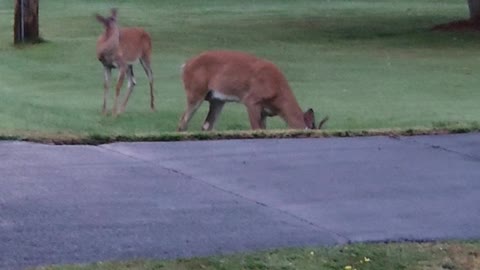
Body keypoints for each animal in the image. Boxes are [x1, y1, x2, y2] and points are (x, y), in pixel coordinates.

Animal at [178, 50, 328, 132]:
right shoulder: (251, 100)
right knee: (183, 121)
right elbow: (255, 128)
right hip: (195, 91)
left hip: (217, 100)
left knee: (207, 125)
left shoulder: (265, 112)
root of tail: (185, 65)